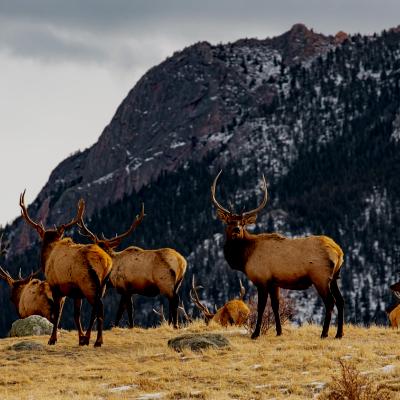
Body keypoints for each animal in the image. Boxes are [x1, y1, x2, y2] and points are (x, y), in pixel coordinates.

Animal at [19, 192, 111, 346]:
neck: (47, 258)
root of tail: (106, 261)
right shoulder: (75, 293)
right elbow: (75, 315)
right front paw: (80, 338)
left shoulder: (56, 287)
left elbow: (57, 314)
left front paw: (52, 339)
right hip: (102, 285)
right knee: (96, 309)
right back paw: (89, 339)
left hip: (88, 283)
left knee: (99, 308)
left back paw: (97, 341)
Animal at [211, 170, 346, 340]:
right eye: (229, 221)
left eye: (243, 223)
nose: (236, 230)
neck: (244, 258)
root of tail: (339, 251)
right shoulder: (274, 283)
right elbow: (275, 305)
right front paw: (279, 331)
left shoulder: (262, 279)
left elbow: (261, 307)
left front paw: (255, 333)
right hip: (335, 277)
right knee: (341, 301)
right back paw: (339, 334)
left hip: (320, 277)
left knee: (330, 302)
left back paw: (324, 333)